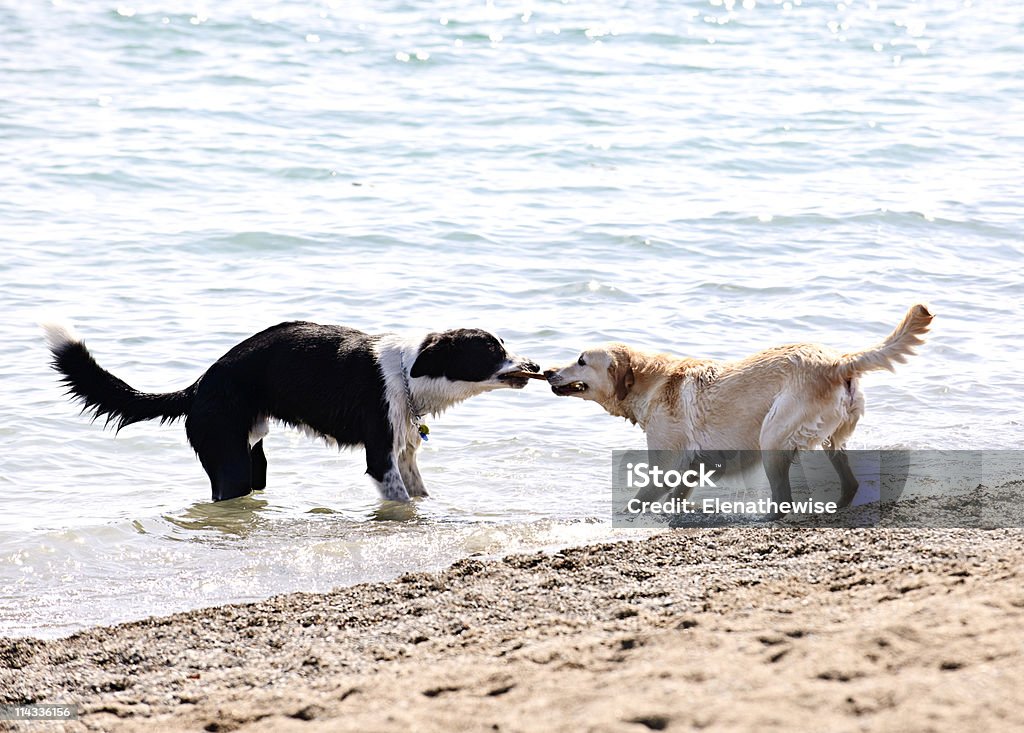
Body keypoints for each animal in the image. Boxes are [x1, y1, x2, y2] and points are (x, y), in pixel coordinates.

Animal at [44, 321, 540, 501]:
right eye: (491, 351)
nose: (535, 366)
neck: (407, 371)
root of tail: (201, 384)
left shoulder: (404, 455)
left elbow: (418, 492)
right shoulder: (380, 458)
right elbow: (400, 499)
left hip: (252, 457)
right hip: (230, 464)